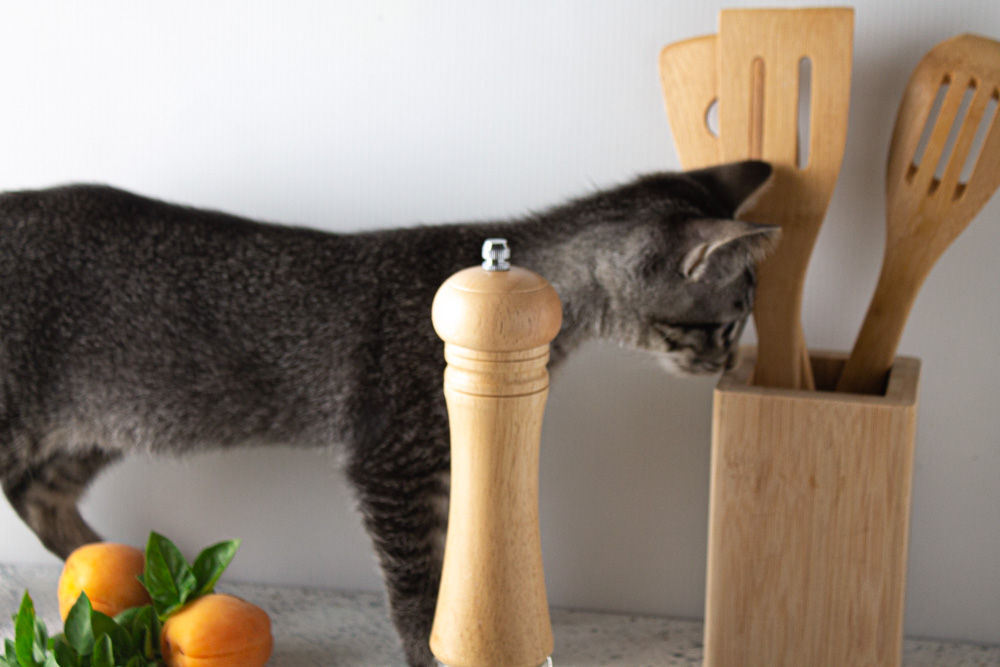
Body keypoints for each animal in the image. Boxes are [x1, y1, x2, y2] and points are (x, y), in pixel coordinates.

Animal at [0, 159, 776, 664]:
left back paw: (117, 578)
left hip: (98, 427)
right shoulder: (393, 461)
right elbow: (414, 577)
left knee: (36, 495)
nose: (727, 365)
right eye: (723, 325)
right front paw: (426, 649)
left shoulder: (448, 458)